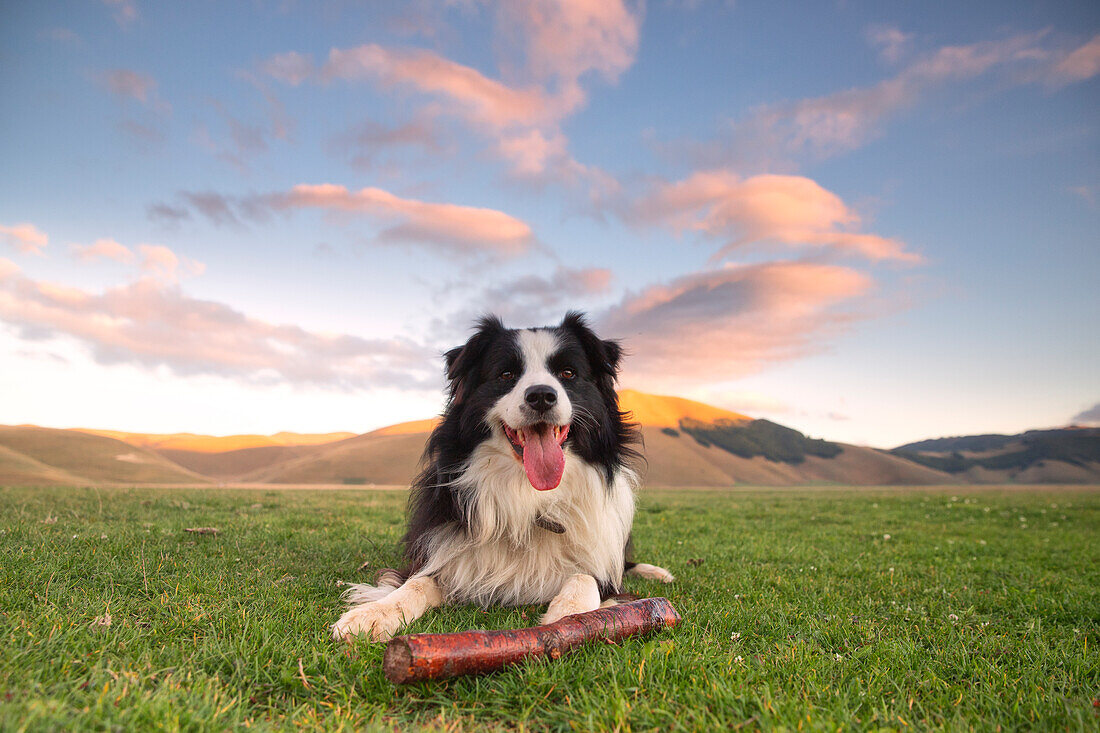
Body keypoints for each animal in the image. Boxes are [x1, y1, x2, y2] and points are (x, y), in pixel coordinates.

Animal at [332, 310, 668, 638]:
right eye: (506, 375)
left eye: (568, 373)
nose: (541, 396)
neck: (528, 493)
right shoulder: (440, 553)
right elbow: (415, 583)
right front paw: (372, 615)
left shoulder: (602, 566)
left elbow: (586, 577)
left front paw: (569, 613)